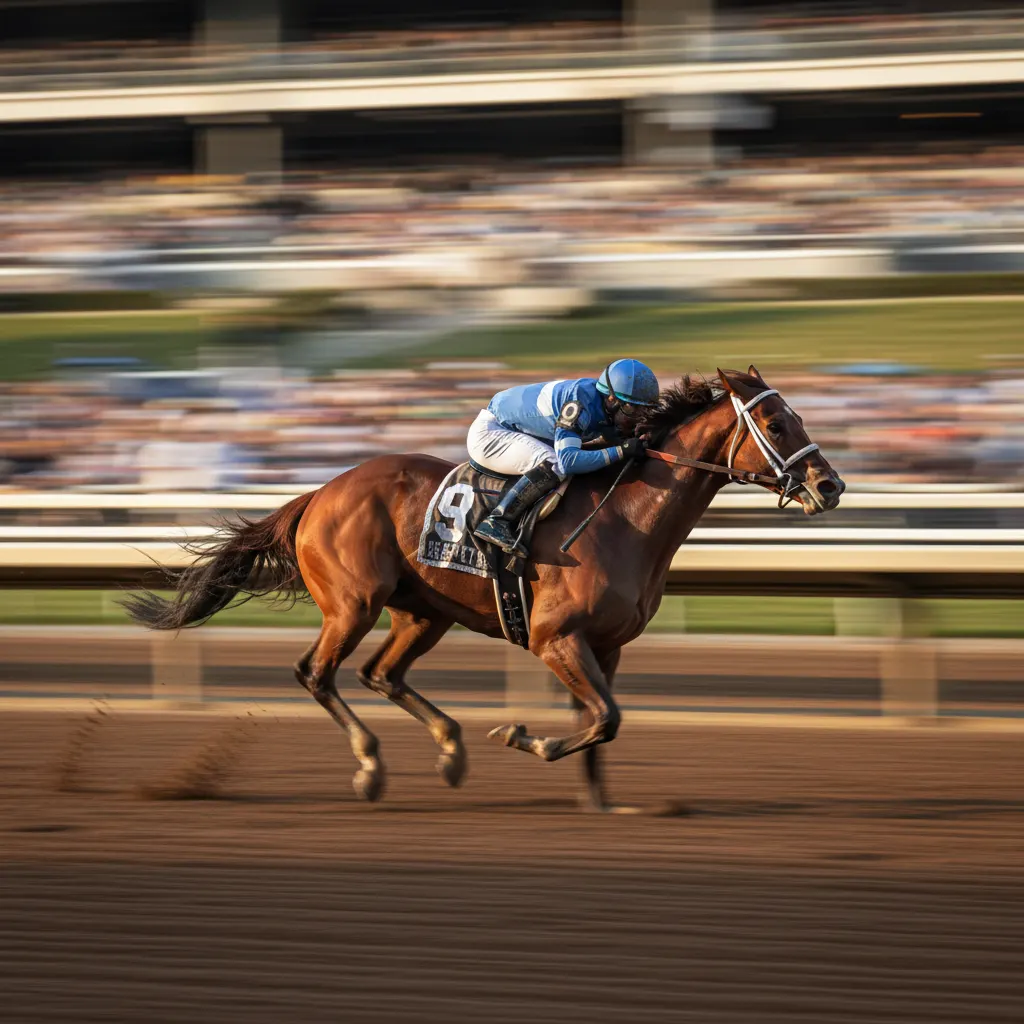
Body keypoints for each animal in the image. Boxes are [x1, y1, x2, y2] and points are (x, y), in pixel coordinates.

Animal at [125, 366, 844, 812]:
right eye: (776, 425)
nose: (829, 485)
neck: (627, 516)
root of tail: (320, 493)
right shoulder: (556, 639)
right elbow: (603, 718)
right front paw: (528, 738)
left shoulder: (604, 647)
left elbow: (602, 722)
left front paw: (600, 801)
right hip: (353, 603)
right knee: (316, 672)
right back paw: (370, 765)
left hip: (423, 613)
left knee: (380, 674)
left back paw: (450, 749)